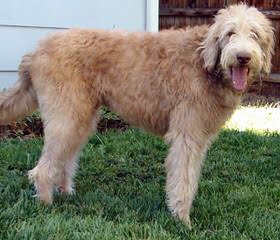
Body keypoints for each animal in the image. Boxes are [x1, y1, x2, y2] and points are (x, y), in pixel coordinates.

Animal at [0, 4, 274, 227]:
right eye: (230, 33)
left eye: (254, 34)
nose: (243, 57)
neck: (204, 62)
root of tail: (36, 51)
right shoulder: (187, 135)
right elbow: (184, 178)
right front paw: (182, 220)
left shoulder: (200, 136)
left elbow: (190, 176)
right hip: (66, 115)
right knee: (42, 168)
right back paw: (46, 205)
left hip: (80, 117)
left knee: (65, 158)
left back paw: (67, 193)